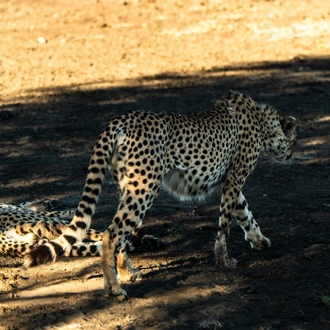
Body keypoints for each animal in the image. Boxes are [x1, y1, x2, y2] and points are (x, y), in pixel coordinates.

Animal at [23, 90, 296, 300]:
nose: (291, 155)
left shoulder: (228, 181)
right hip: (144, 188)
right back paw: (114, 289)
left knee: (122, 232)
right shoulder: (233, 179)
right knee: (112, 233)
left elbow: (245, 212)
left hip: (128, 186)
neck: (261, 121)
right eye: (294, 140)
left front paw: (259, 240)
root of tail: (121, 119)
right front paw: (224, 260)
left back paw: (126, 273)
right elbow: (225, 225)